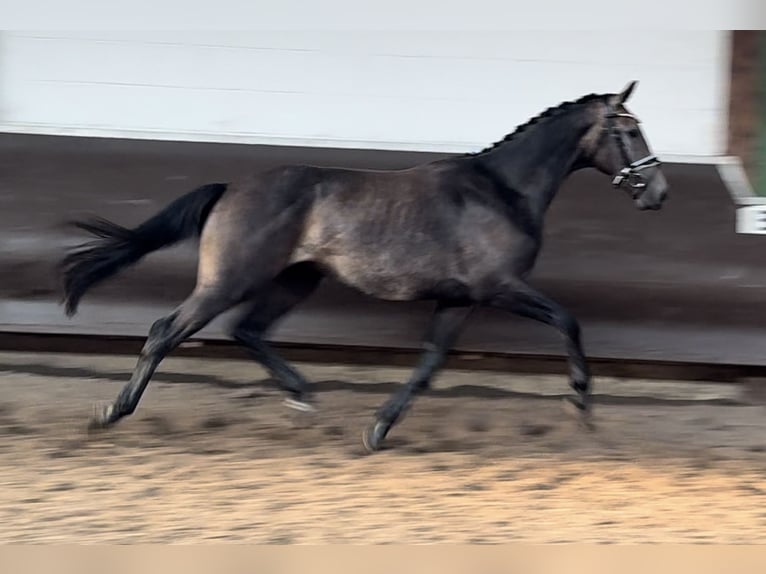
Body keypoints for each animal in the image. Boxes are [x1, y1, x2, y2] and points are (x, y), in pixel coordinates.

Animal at [61, 79, 672, 452]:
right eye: (629, 129)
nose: (659, 193)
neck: (501, 191)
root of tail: (229, 188)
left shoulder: (458, 299)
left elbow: (429, 364)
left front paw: (378, 428)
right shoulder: (498, 287)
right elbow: (567, 320)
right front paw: (581, 402)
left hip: (295, 279)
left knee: (248, 330)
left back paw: (303, 396)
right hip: (230, 279)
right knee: (167, 330)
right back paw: (112, 412)